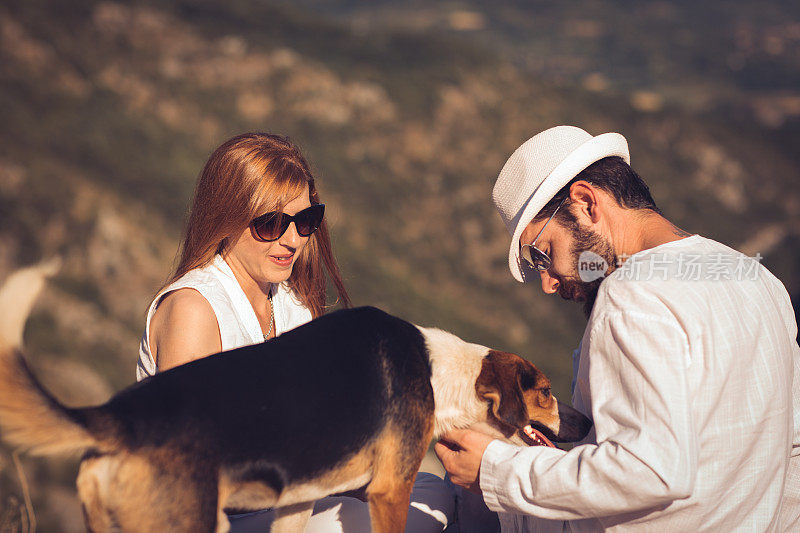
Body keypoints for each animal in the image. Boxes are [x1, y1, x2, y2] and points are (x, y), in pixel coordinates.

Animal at [0, 262, 588, 532]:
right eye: (545, 393)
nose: (585, 423)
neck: (439, 371)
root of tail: (119, 417)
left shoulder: (300, 500)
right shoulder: (391, 492)